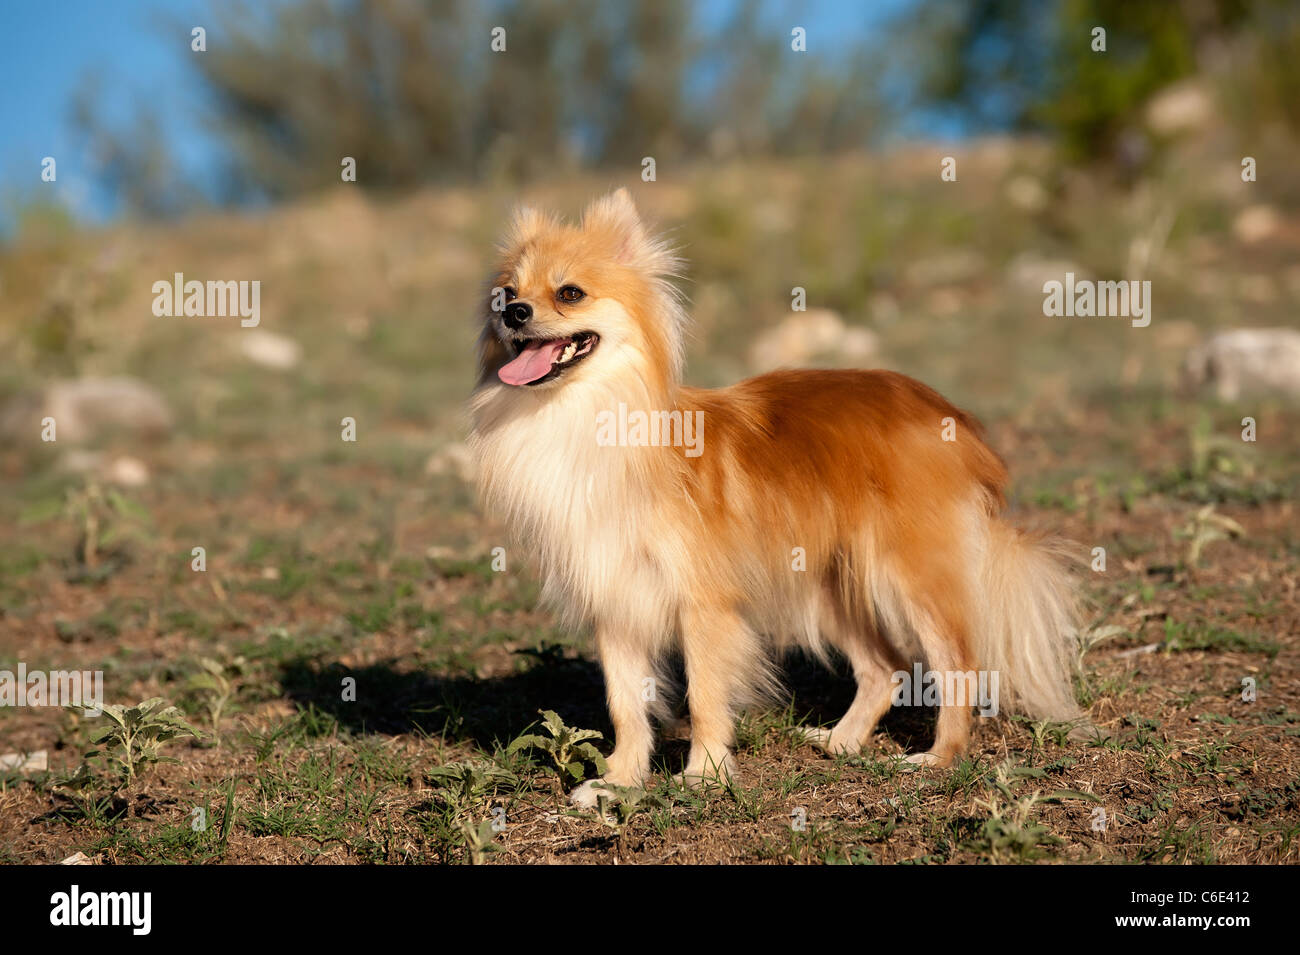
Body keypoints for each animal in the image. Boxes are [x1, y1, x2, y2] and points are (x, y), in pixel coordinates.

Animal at [473, 188, 1081, 805]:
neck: (587, 419)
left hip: (907, 576)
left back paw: (939, 757)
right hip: (829, 587)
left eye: (570, 293)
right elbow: (625, 703)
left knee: (957, 663)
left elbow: (704, 695)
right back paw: (841, 742)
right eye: (507, 295)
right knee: (883, 667)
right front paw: (620, 782)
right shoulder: (616, 603)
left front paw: (704, 775)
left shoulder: (703, 604)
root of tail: (952, 416)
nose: (513, 314)